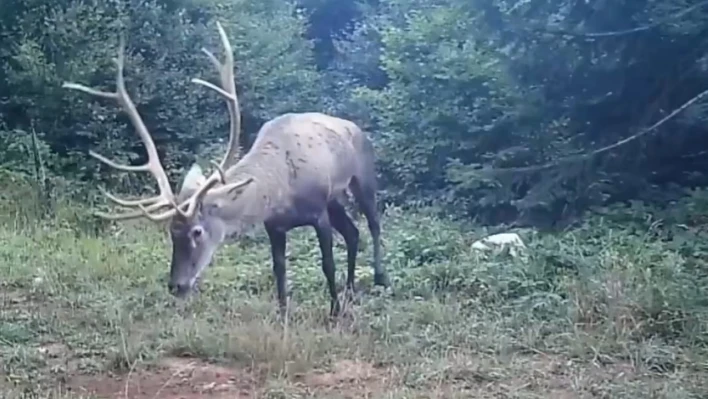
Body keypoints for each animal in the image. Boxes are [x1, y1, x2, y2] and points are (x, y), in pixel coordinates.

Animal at [61, 21, 390, 318]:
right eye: (170, 232)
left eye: (197, 231)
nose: (176, 285)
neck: (280, 191)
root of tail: (356, 128)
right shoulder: (274, 225)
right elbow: (279, 269)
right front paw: (283, 315)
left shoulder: (318, 211)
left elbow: (326, 263)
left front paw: (334, 312)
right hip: (335, 199)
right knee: (353, 233)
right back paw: (351, 289)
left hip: (362, 176)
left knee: (373, 223)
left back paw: (379, 278)